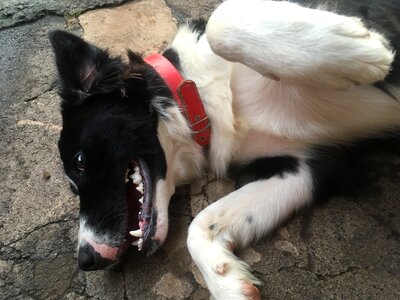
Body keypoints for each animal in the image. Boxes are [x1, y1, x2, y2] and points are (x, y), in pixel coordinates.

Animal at [50, 0, 400, 298]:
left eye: (79, 161)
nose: (87, 259)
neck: (197, 95)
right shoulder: (301, 166)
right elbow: (199, 225)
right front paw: (229, 283)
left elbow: (223, 21)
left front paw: (365, 51)